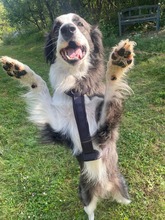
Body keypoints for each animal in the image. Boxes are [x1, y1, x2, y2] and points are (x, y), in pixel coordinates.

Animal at [0, 13, 136, 220]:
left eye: (79, 23)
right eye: (56, 27)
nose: (67, 29)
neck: (76, 90)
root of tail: (104, 189)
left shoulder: (104, 128)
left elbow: (111, 86)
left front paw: (118, 61)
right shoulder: (56, 125)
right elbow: (40, 86)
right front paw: (20, 70)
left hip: (123, 190)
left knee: (125, 201)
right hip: (84, 194)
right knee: (90, 212)